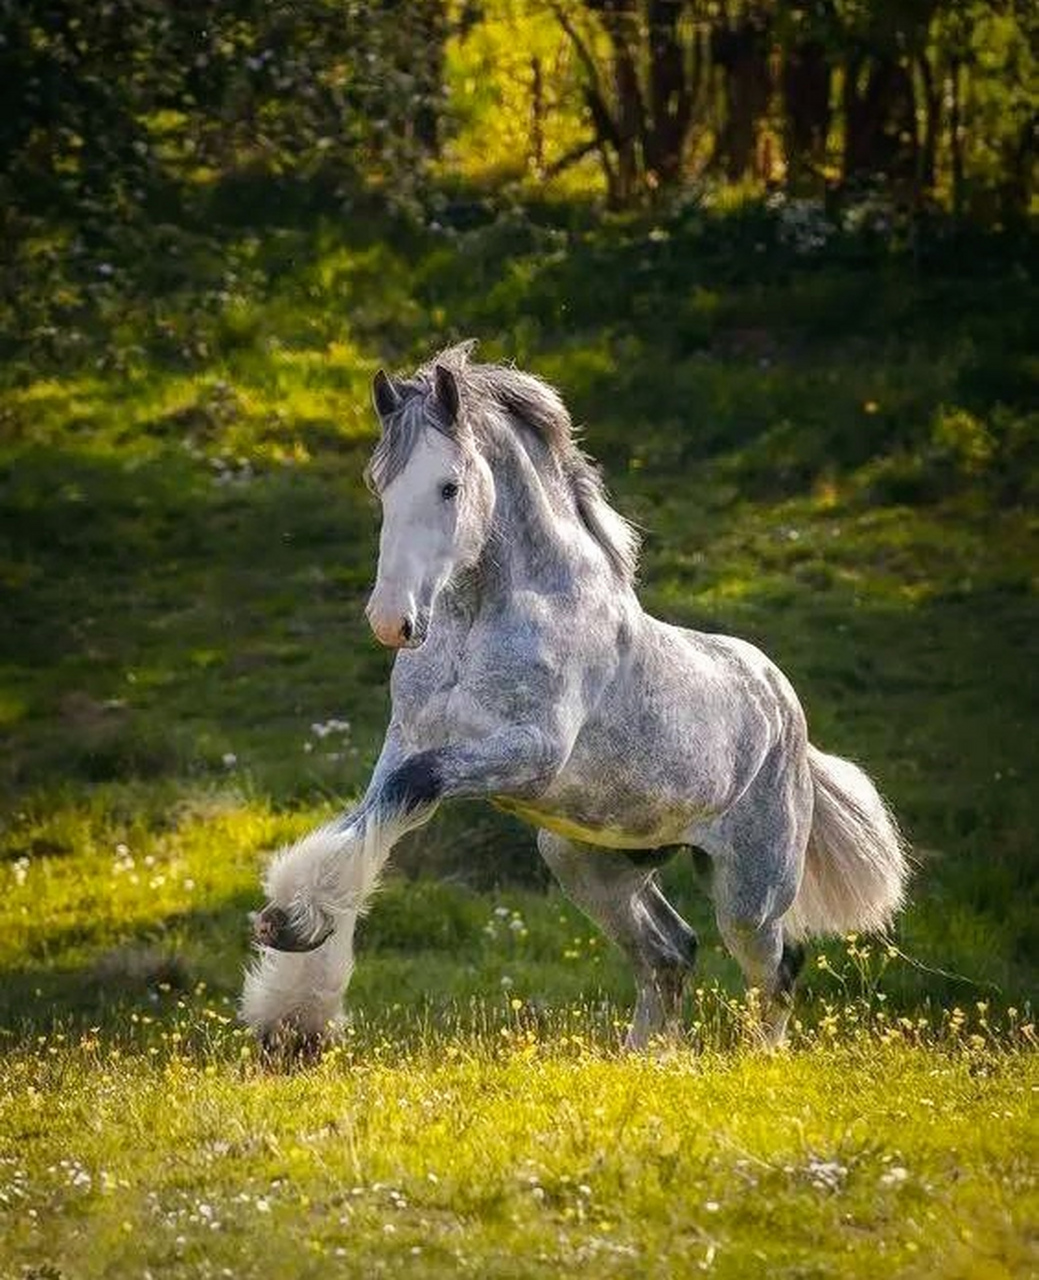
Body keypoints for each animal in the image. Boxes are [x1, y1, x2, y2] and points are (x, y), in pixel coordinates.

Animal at [239, 343, 905, 1049]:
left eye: (449, 485)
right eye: (379, 485)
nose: (393, 621)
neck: (484, 617)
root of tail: (789, 717)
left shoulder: (531, 754)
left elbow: (410, 791)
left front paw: (294, 942)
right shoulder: (407, 742)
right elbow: (374, 816)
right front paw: (291, 980)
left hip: (751, 891)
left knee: (775, 968)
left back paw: (756, 1064)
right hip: (588, 862)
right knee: (672, 953)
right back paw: (644, 1060)